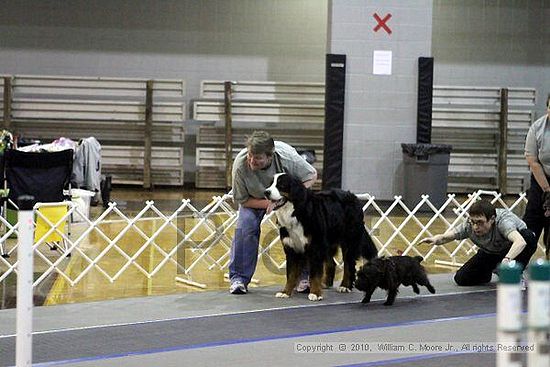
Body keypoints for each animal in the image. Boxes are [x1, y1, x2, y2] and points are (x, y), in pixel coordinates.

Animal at [264, 172, 380, 302]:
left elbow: (314, 274)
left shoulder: (315, 247)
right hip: (328, 243)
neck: (296, 213)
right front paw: (286, 292)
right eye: (270, 184)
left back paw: (345, 286)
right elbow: (291, 274)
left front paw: (315, 293)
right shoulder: (291, 249)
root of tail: (353, 196)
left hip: (349, 241)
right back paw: (325, 283)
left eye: (281, 185)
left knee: (349, 265)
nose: (266, 192)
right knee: (332, 263)